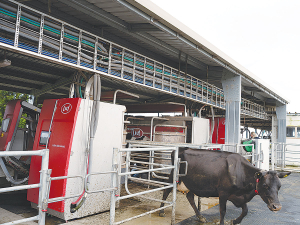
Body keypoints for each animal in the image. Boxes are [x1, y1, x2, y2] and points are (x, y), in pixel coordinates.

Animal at [159, 149, 290, 224]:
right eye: (264, 185)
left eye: (279, 186)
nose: (277, 207)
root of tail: (180, 149)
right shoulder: (223, 193)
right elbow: (223, 211)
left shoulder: (239, 196)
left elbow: (245, 211)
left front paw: (235, 221)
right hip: (173, 175)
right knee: (166, 190)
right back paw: (161, 211)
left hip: (192, 182)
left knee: (190, 197)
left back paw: (200, 217)